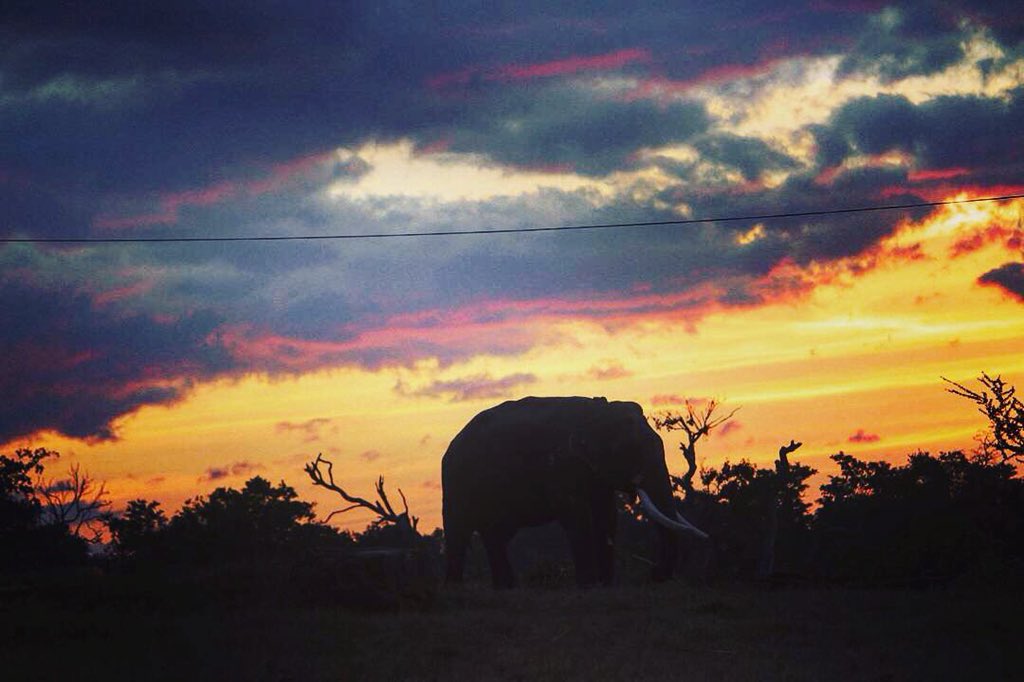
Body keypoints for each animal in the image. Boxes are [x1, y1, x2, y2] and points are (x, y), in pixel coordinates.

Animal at [441, 396, 707, 588]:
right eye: (631, 450)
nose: (655, 574)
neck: (598, 411)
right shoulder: (561, 466)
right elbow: (578, 518)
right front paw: (588, 585)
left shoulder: (596, 474)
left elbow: (607, 517)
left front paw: (606, 585)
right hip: (456, 482)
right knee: (459, 531)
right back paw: (456, 589)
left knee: (496, 535)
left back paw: (505, 587)